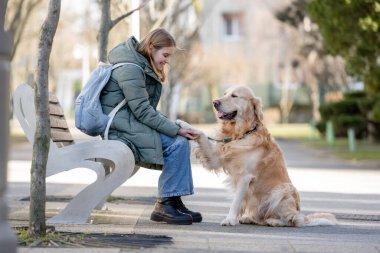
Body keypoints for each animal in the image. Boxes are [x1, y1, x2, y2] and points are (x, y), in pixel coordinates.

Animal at [175, 86, 336, 226]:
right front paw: (183, 123)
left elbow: (235, 201)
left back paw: (274, 221)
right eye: (225, 93)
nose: (215, 102)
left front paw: (229, 219)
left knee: (292, 220)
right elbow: (201, 134)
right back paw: (249, 218)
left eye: (234, 96)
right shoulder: (216, 158)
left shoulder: (245, 177)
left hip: (283, 190)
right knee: (265, 218)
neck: (242, 133)